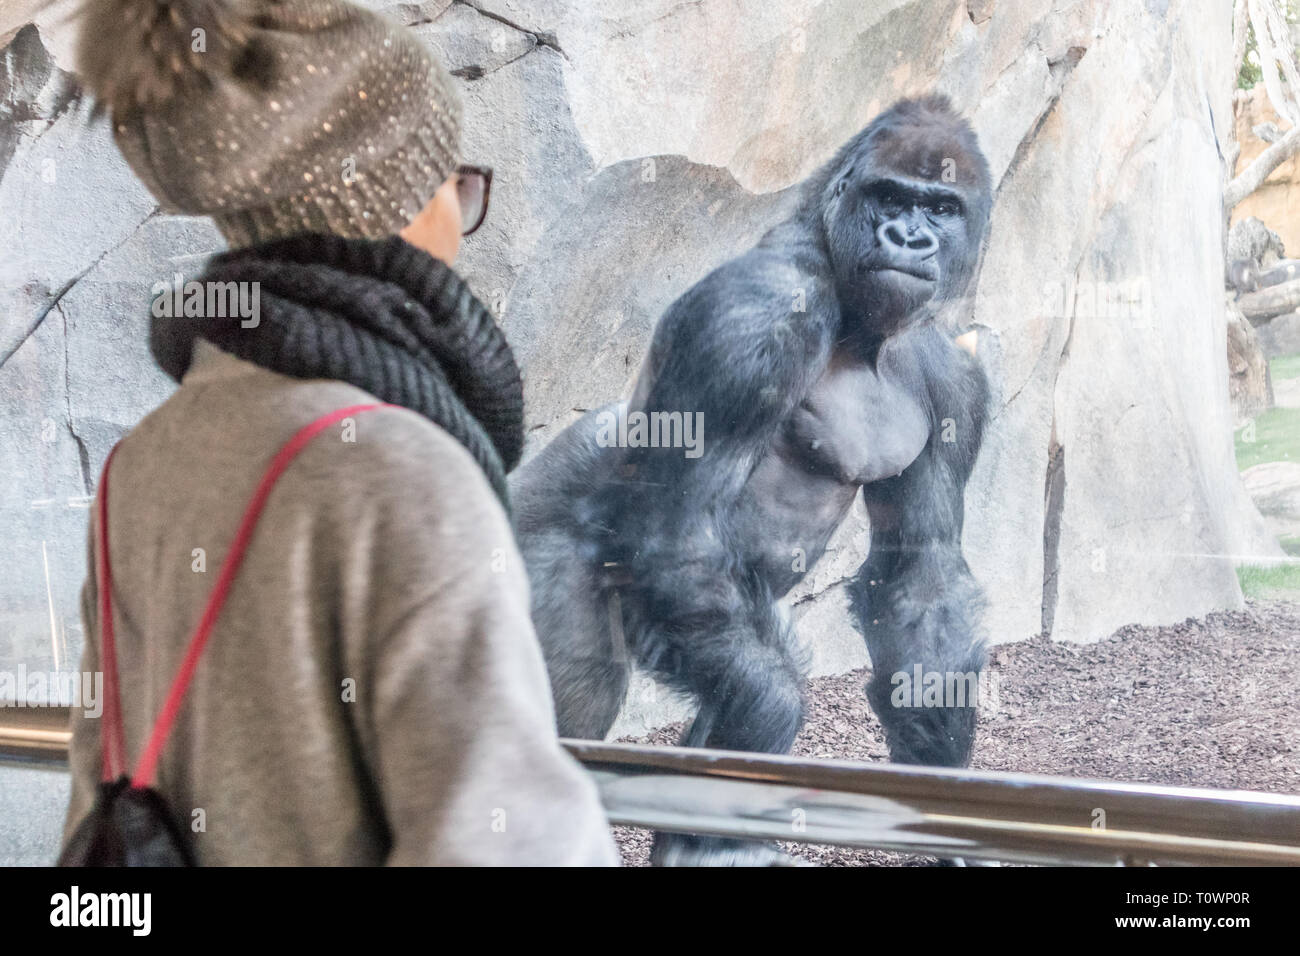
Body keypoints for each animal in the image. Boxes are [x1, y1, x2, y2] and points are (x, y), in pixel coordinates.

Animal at [509, 97, 993, 868]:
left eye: (941, 207)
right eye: (890, 197)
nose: (908, 237)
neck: (865, 332)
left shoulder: (954, 380)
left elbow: (922, 578)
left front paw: (947, 793)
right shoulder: (752, 317)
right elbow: (678, 540)